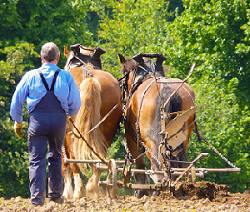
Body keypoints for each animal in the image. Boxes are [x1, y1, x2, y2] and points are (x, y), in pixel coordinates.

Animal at [61, 44, 122, 200]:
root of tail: (89, 77)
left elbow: (65, 164)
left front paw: (67, 193)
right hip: (108, 130)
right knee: (99, 159)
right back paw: (94, 186)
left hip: (71, 131)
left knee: (74, 160)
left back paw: (79, 192)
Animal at [118, 52, 198, 197]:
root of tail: (167, 90)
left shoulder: (132, 138)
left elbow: (139, 168)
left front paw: (140, 191)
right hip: (181, 138)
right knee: (175, 165)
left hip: (152, 140)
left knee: (157, 166)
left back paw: (157, 191)